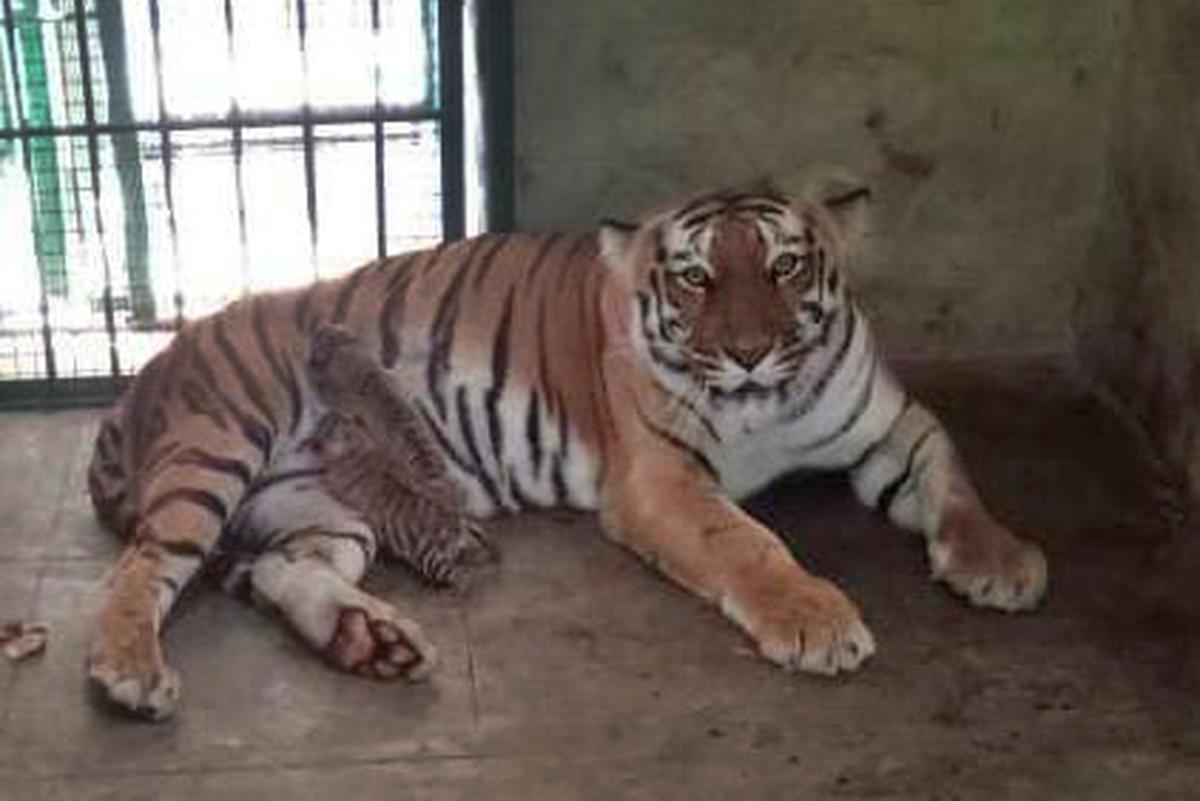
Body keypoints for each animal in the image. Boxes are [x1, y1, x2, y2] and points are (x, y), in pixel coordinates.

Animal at [84, 179, 1046, 719]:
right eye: (695, 277)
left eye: (785, 267)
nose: (746, 352)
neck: (764, 400)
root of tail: (147, 371)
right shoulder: (662, 477)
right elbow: (750, 544)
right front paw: (815, 617)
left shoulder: (893, 423)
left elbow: (955, 480)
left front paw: (1001, 563)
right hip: (217, 451)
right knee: (141, 567)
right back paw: (127, 671)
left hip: (320, 512)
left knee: (291, 571)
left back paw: (370, 640)